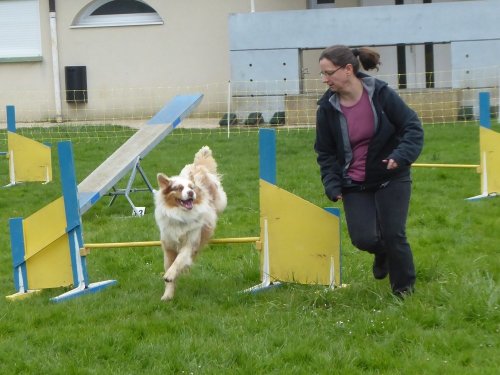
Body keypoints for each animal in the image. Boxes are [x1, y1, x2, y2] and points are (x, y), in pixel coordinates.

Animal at [153, 147, 228, 302]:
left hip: (220, 201)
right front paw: (167, 295)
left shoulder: (190, 242)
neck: (180, 214)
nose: (191, 193)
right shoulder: (168, 247)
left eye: (191, 187)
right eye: (179, 188)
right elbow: (170, 264)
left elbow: (179, 260)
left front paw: (170, 275)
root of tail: (198, 166)